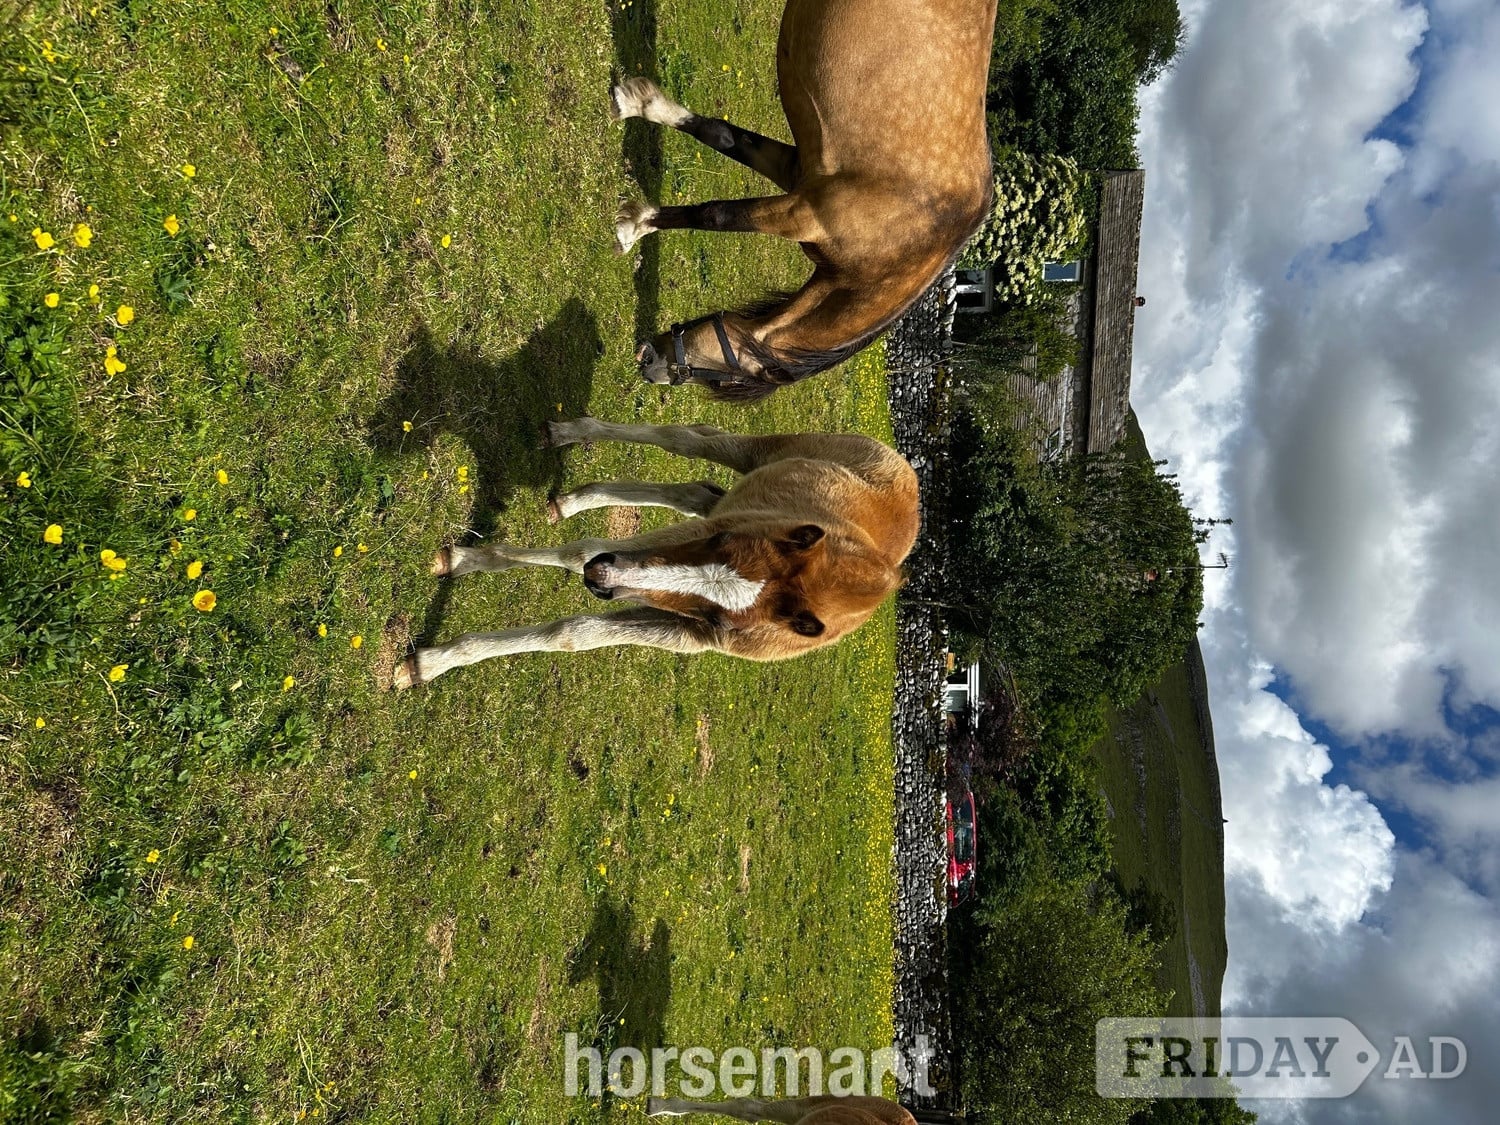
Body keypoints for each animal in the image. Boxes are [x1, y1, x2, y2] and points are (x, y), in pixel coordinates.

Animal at [392, 416, 918, 688]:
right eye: (720, 541)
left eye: (719, 619)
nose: (601, 579)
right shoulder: (695, 534)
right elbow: (580, 551)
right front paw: (464, 562)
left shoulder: (687, 632)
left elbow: (575, 632)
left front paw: (430, 662)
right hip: (762, 454)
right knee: (689, 440)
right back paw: (570, 436)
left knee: (695, 490)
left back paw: (573, 501)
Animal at [612, 0, 999, 400]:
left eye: (718, 379)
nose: (648, 361)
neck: (908, 245)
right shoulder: (802, 209)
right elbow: (718, 195)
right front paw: (633, 225)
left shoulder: (797, 189)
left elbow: (720, 156)